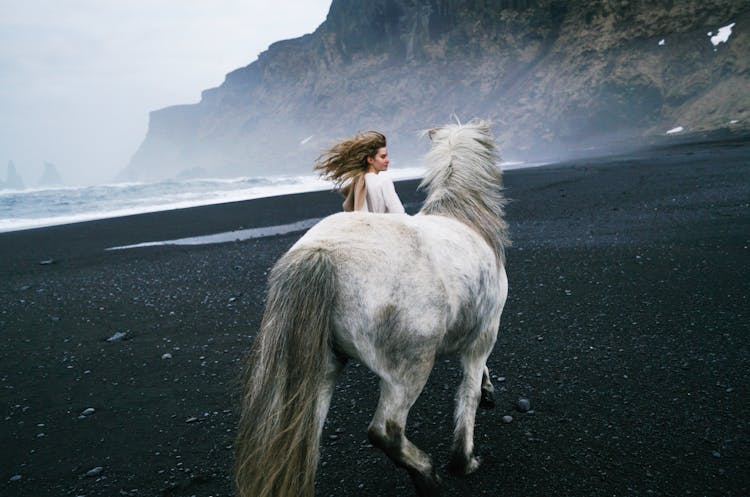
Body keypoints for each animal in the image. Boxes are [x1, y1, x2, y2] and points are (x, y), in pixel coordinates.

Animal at [238, 120, 512, 496]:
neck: (467, 221)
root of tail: (320, 253)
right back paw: (427, 475)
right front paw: (464, 459)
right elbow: (467, 393)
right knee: (385, 431)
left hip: (322, 369)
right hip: (409, 369)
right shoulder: (485, 333)